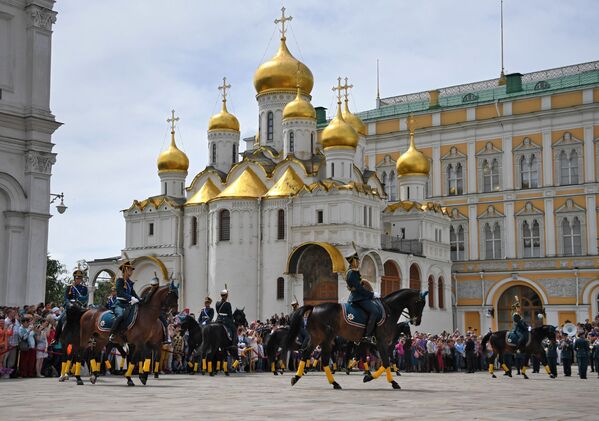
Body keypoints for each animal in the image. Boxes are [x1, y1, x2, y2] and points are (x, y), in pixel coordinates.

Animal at [290, 288, 426, 388]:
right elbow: (386, 362)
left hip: (319, 339)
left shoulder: (370, 345)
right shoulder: (382, 342)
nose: (417, 321)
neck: (389, 310)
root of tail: (314, 308)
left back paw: (301, 377)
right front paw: (390, 381)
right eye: (419, 303)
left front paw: (368, 375)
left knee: (309, 355)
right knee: (321, 358)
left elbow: (378, 360)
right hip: (325, 340)